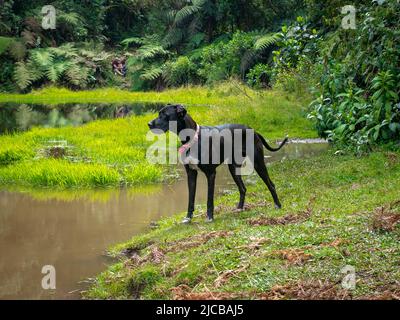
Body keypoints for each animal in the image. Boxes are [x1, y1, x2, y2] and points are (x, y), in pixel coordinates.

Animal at [148, 104, 288, 222]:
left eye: (164, 114)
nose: (149, 124)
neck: (192, 139)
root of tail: (253, 130)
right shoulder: (191, 174)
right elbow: (190, 199)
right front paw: (188, 217)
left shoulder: (211, 174)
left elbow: (209, 199)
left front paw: (209, 217)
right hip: (233, 168)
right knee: (242, 188)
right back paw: (239, 208)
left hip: (258, 163)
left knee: (271, 184)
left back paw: (277, 205)